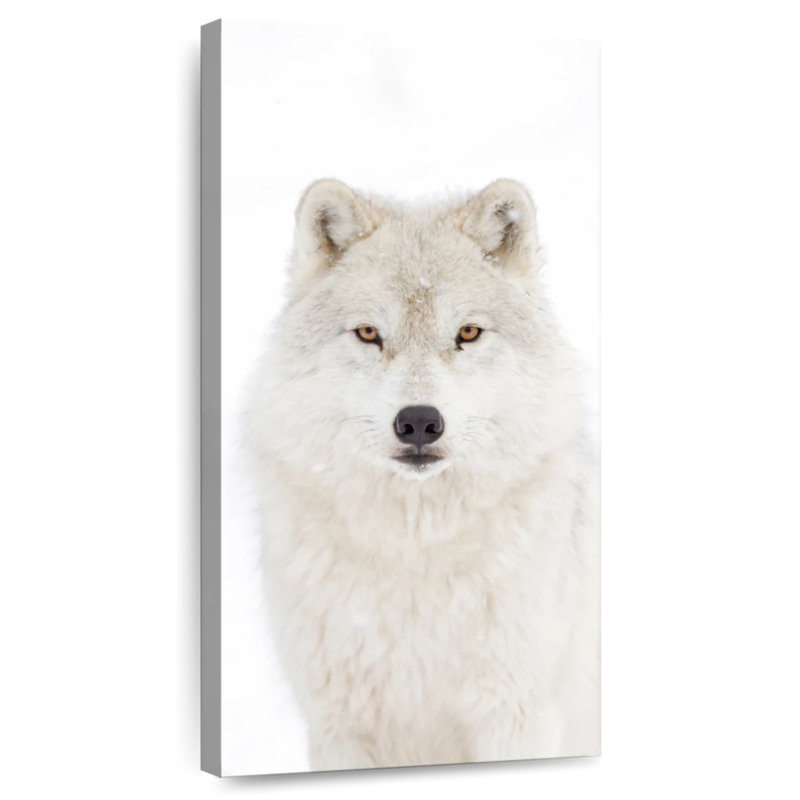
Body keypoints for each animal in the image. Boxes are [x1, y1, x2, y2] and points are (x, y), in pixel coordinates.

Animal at [245, 178, 599, 771]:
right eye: (369, 332)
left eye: (468, 332)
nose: (418, 422)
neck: (413, 553)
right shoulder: (341, 729)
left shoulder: (514, 718)